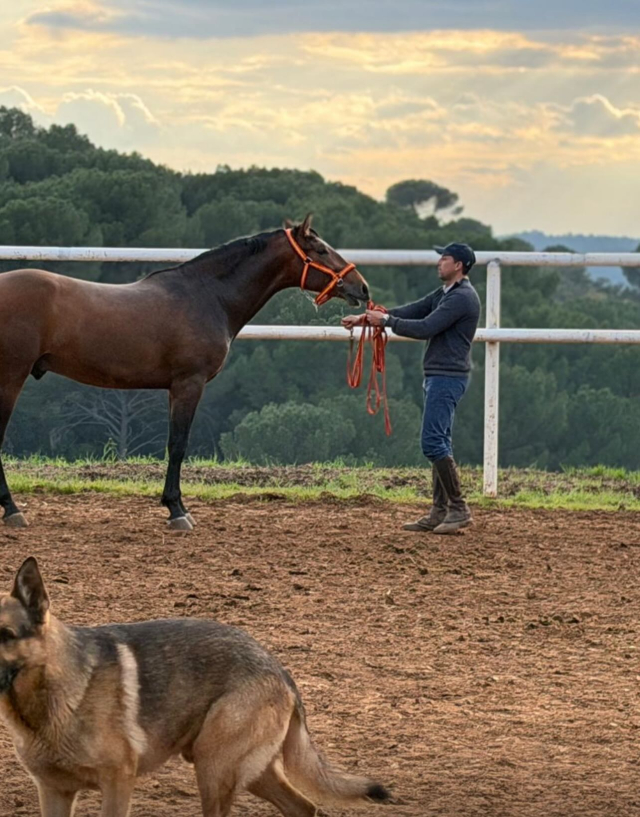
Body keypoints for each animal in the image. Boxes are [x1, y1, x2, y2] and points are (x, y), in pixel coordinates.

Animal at [0, 214, 369, 530]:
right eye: (320, 249)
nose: (362, 288)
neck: (207, 295)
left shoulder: (174, 388)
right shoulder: (188, 384)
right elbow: (178, 444)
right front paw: (177, 510)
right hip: (10, 377)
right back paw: (13, 510)